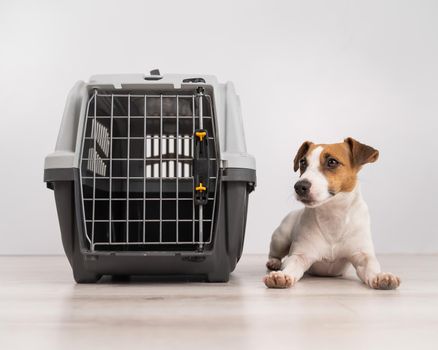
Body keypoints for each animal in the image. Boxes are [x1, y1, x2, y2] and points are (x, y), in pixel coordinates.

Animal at [264, 137, 400, 290]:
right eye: (303, 162)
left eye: (332, 162)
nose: (299, 186)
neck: (333, 214)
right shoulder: (300, 255)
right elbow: (292, 264)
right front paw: (282, 275)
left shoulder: (363, 256)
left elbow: (371, 265)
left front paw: (381, 276)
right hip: (280, 238)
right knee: (274, 253)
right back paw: (274, 262)